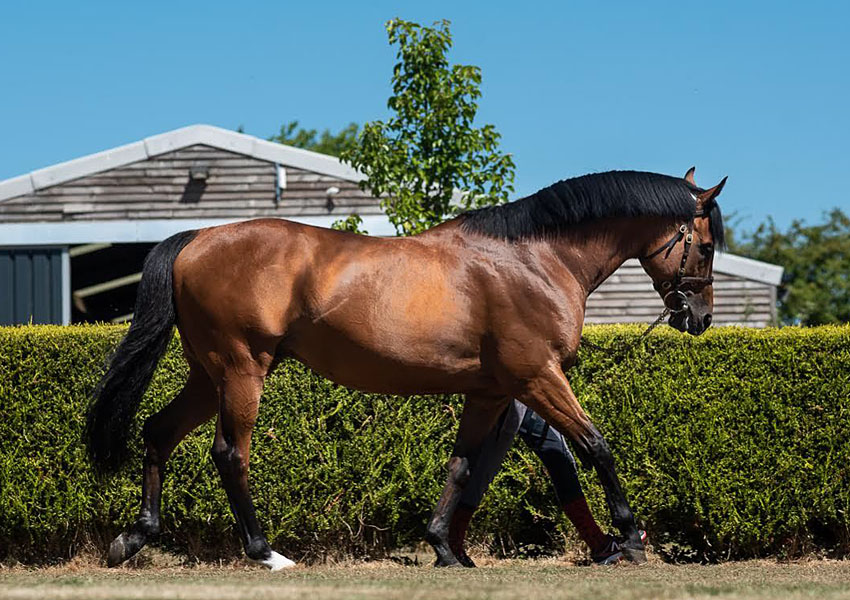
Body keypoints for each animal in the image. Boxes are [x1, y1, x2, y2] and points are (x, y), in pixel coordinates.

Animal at [86, 168, 724, 568]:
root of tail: (198, 238)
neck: (534, 259)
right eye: (707, 244)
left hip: (207, 374)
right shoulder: (537, 377)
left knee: (158, 432)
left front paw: (443, 546)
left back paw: (133, 538)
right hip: (243, 369)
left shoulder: (492, 393)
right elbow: (595, 445)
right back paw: (266, 551)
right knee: (229, 454)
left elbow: (463, 466)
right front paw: (631, 536)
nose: (699, 318)